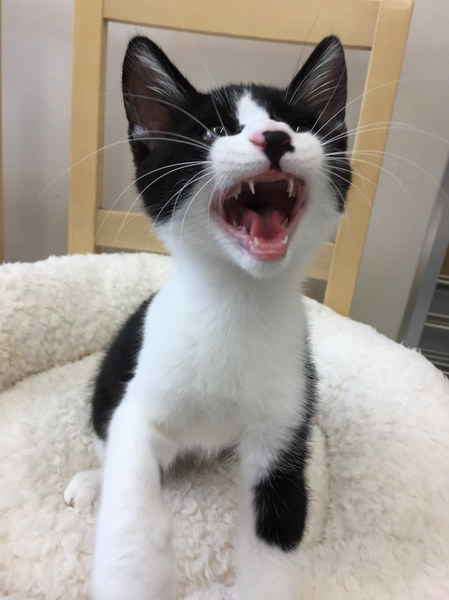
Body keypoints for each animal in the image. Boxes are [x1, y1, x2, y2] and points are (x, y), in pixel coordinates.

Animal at [64, 34, 351, 600]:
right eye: (215, 131)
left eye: (300, 125)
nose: (276, 137)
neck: (238, 303)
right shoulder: (142, 397)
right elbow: (130, 516)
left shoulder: (283, 422)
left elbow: (277, 532)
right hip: (111, 377)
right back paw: (92, 479)